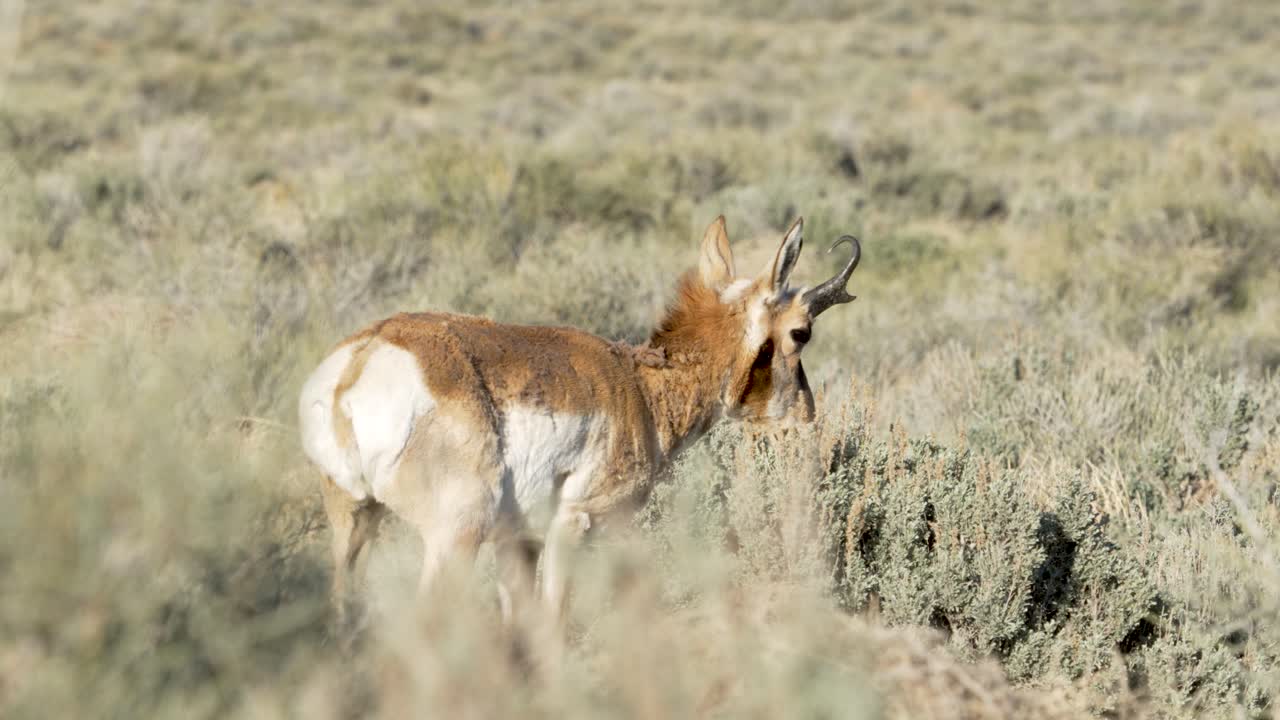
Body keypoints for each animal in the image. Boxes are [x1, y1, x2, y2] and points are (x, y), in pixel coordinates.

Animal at [298, 216, 860, 630]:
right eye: (802, 332)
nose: (807, 418)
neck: (640, 384)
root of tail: (361, 360)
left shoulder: (518, 541)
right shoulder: (574, 523)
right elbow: (552, 624)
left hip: (354, 522)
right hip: (455, 536)